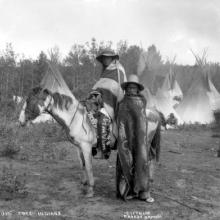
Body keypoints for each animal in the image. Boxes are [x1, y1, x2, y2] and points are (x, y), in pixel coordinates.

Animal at [18, 87, 162, 198]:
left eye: (29, 100)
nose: (20, 121)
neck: (75, 119)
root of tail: (154, 113)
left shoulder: (86, 147)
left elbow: (88, 167)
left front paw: (90, 190)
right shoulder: (78, 148)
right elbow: (82, 165)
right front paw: (84, 184)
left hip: (144, 143)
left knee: (146, 162)